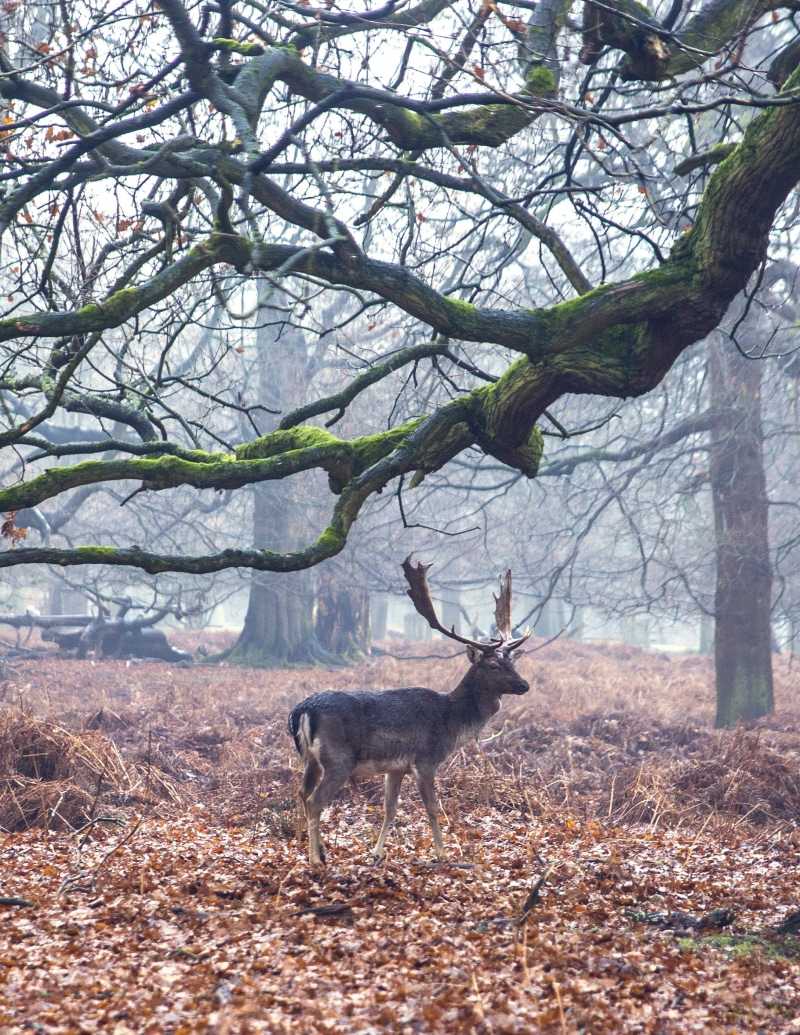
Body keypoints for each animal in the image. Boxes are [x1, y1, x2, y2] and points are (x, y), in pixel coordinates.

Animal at [288, 555, 530, 865]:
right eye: (493, 665)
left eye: (513, 662)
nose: (524, 685)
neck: (451, 722)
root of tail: (302, 710)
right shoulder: (425, 759)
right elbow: (433, 809)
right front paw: (442, 854)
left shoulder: (395, 767)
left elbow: (390, 808)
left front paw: (377, 852)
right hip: (338, 758)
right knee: (314, 799)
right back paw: (316, 859)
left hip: (311, 759)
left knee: (301, 791)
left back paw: (315, 849)